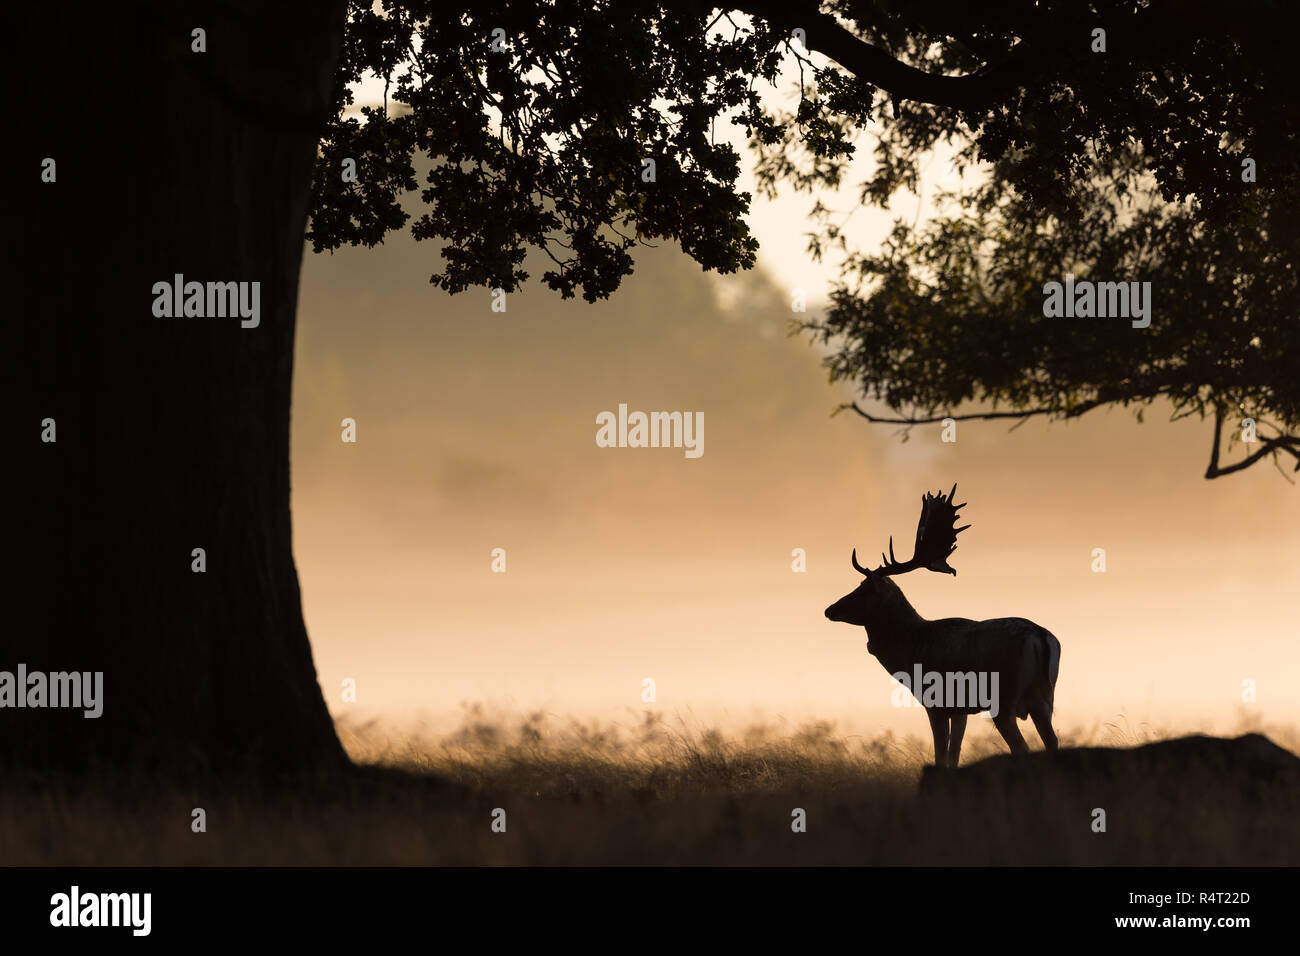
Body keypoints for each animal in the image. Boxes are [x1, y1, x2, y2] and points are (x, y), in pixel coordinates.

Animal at [826, 486, 1060, 770]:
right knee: (1052, 741)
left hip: (1004, 699)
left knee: (1022, 747)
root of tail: (1042, 638)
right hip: (1044, 699)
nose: (830, 609)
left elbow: (941, 756)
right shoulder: (961, 710)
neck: (912, 649)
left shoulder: (936, 701)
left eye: (862, 589)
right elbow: (954, 754)